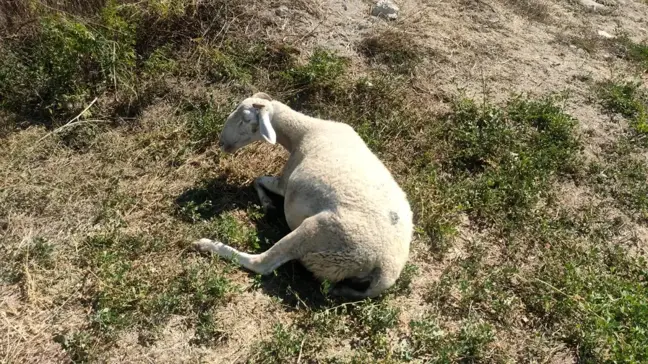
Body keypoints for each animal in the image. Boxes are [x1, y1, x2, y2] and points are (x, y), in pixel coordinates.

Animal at [192, 91, 412, 298]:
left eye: (245, 119)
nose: (221, 143)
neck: (304, 131)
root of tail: (384, 271)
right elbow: (258, 180)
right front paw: (268, 204)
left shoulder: (285, 182)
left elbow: (258, 179)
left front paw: (267, 203)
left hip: (318, 235)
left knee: (263, 263)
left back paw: (208, 244)